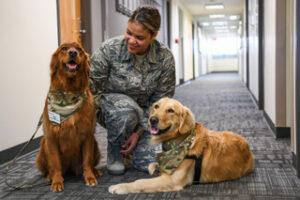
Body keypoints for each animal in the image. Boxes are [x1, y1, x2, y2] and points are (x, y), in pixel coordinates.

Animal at [35, 42, 101, 192]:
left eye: (79, 50)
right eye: (64, 49)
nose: (73, 53)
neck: (70, 91)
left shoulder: (88, 135)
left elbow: (87, 160)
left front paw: (89, 177)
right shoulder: (51, 136)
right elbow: (55, 163)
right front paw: (57, 181)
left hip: (95, 142)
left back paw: (95, 172)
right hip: (43, 144)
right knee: (49, 167)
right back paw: (50, 176)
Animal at [109, 97, 254, 194]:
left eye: (170, 110)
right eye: (156, 106)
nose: (152, 120)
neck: (177, 142)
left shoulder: (171, 181)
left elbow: (141, 182)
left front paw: (120, 186)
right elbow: (153, 165)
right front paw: (154, 166)